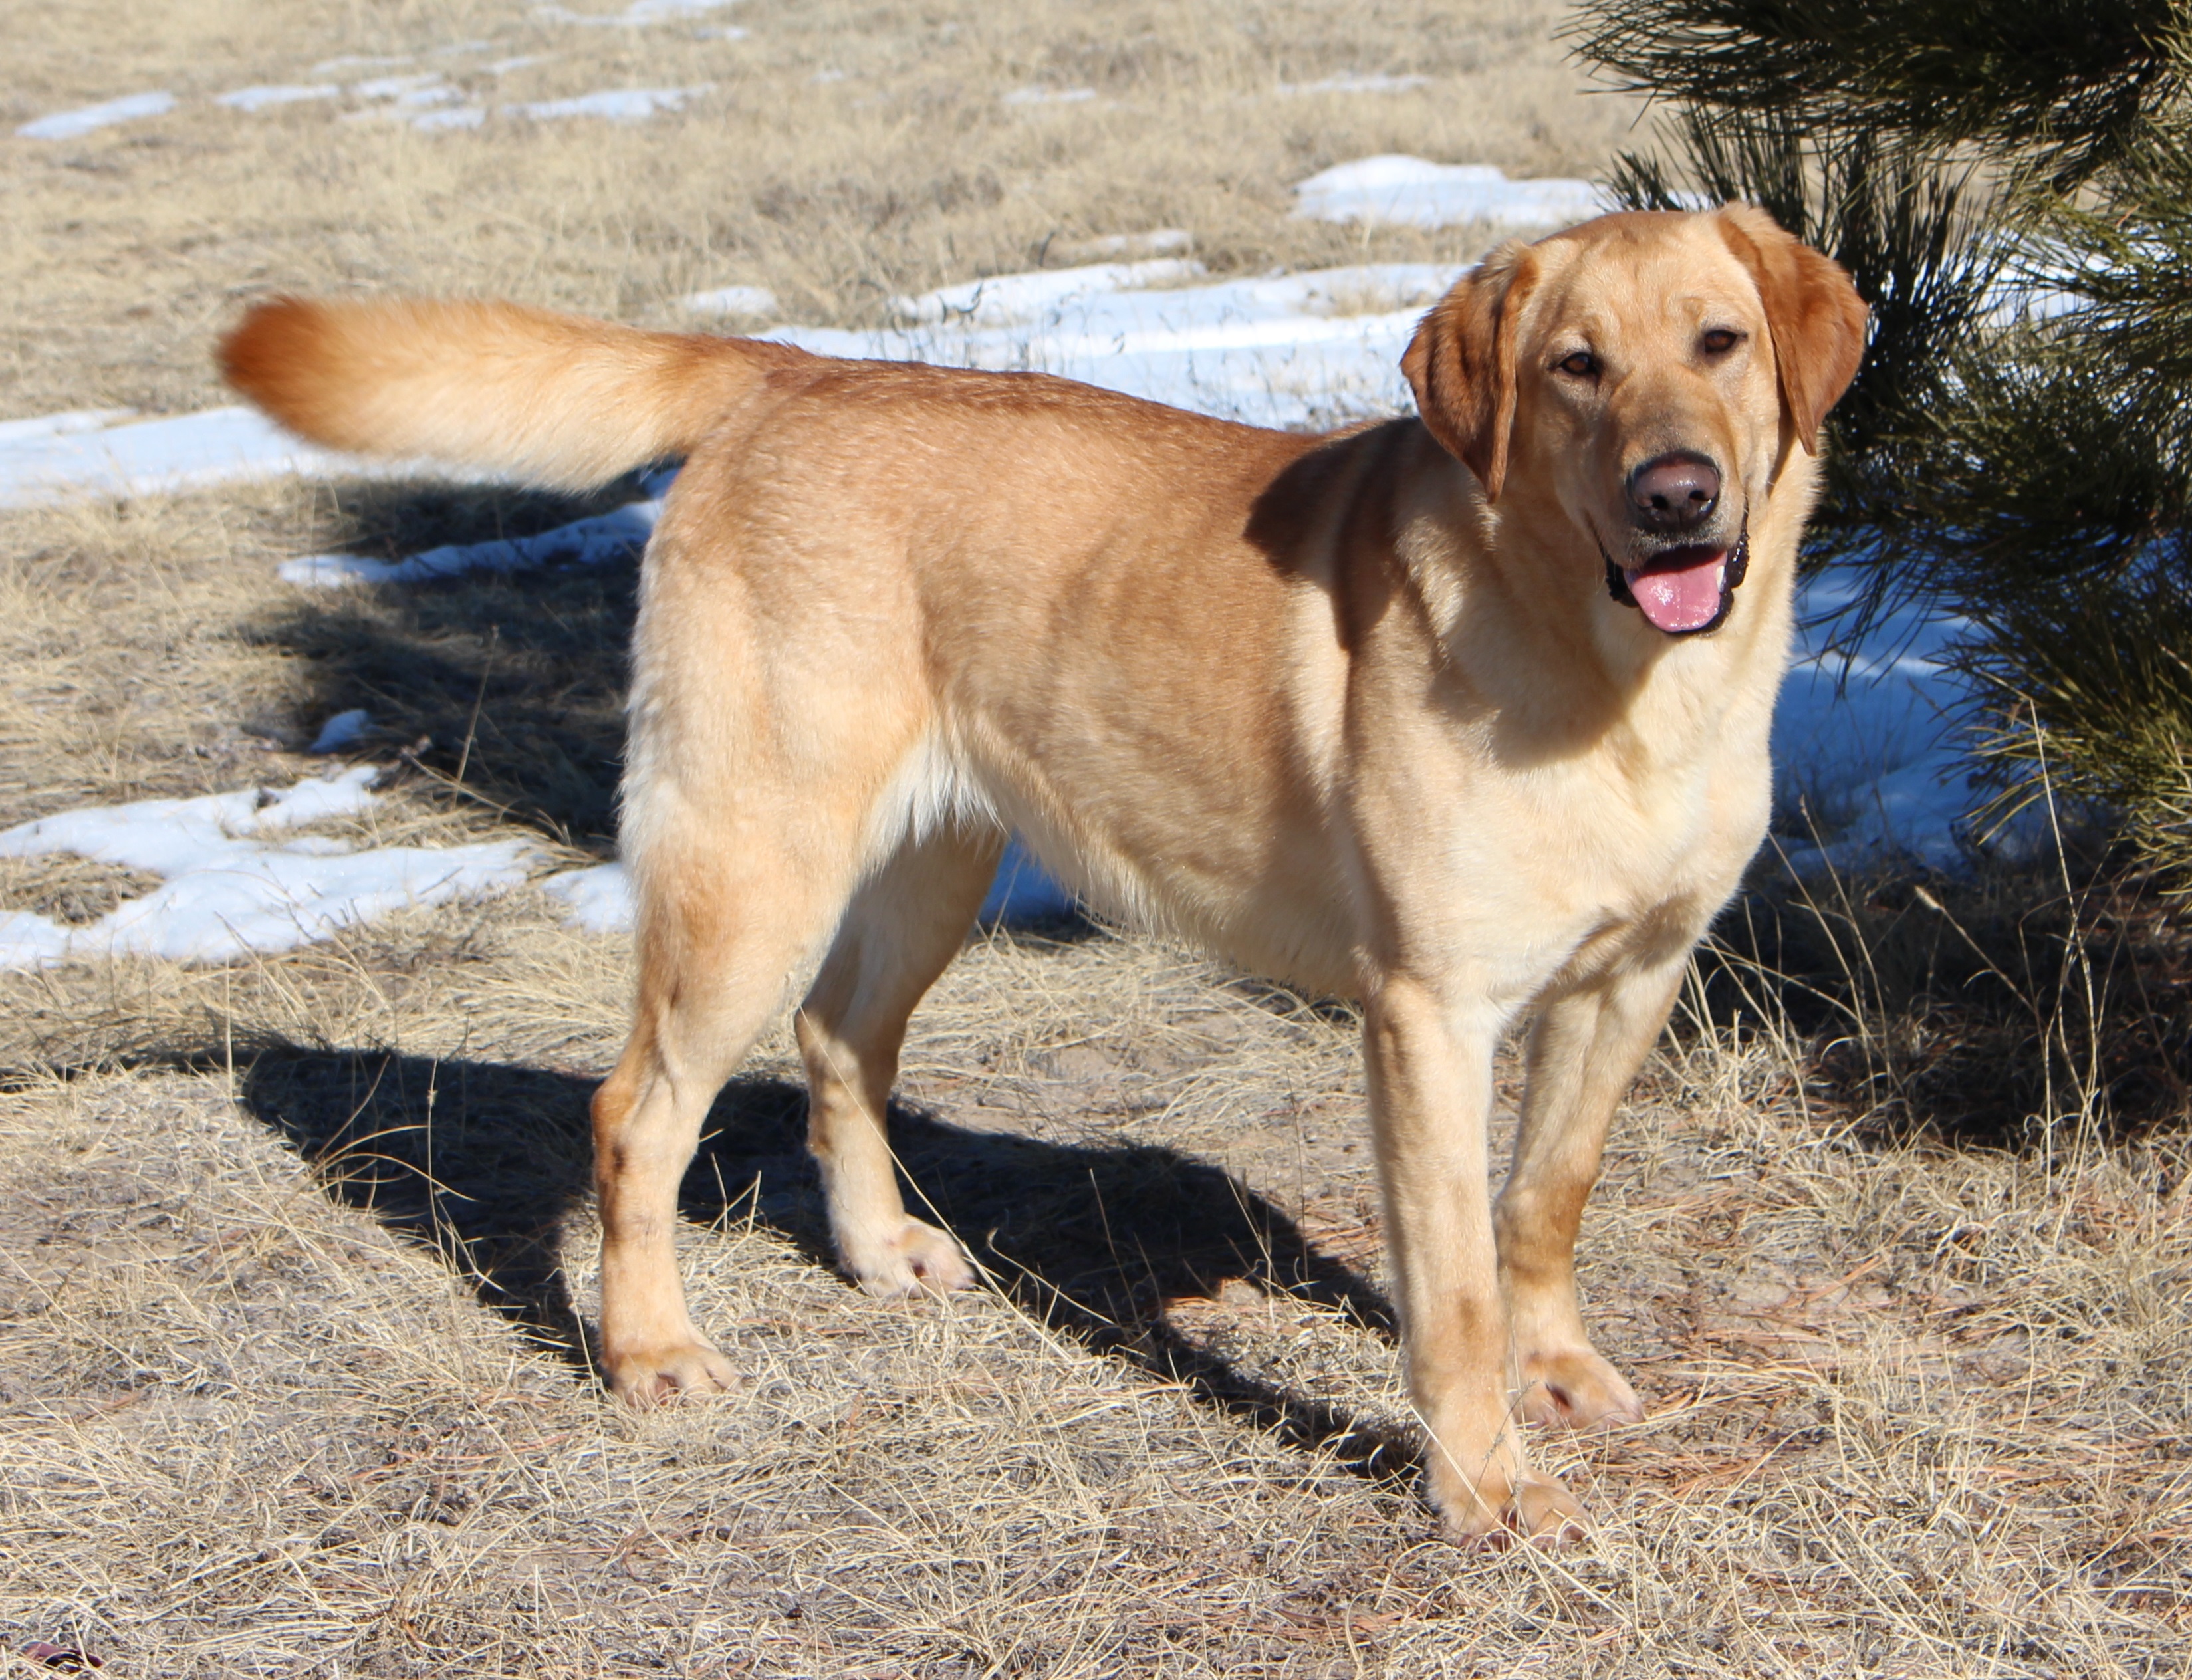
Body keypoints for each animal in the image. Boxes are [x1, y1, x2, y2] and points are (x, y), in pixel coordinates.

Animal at [222, 210, 1868, 1552]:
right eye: (1575, 368)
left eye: (1718, 343)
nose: (1675, 495)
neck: (1622, 684)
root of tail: (786, 375)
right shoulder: (1428, 1018)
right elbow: (1451, 1287)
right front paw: (1481, 1483)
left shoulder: (1629, 979)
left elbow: (1545, 1200)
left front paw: (1556, 1370)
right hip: (754, 874)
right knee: (637, 1114)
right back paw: (648, 1351)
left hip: (933, 866)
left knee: (836, 1043)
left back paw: (875, 1252)